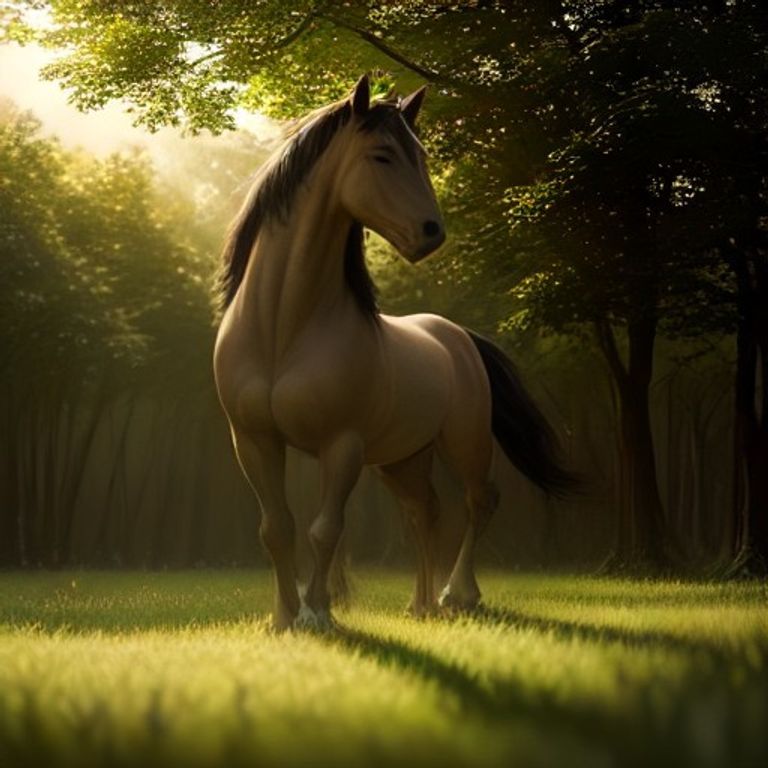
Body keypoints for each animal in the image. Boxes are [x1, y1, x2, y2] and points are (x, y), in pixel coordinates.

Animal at [213, 74, 575, 631]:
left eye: (422, 156)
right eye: (382, 155)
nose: (432, 233)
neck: (283, 330)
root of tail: (458, 336)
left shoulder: (342, 444)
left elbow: (325, 528)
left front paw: (317, 613)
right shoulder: (254, 440)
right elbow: (276, 527)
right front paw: (283, 617)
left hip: (465, 443)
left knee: (479, 501)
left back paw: (457, 594)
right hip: (403, 458)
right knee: (425, 512)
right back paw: (421, 604)